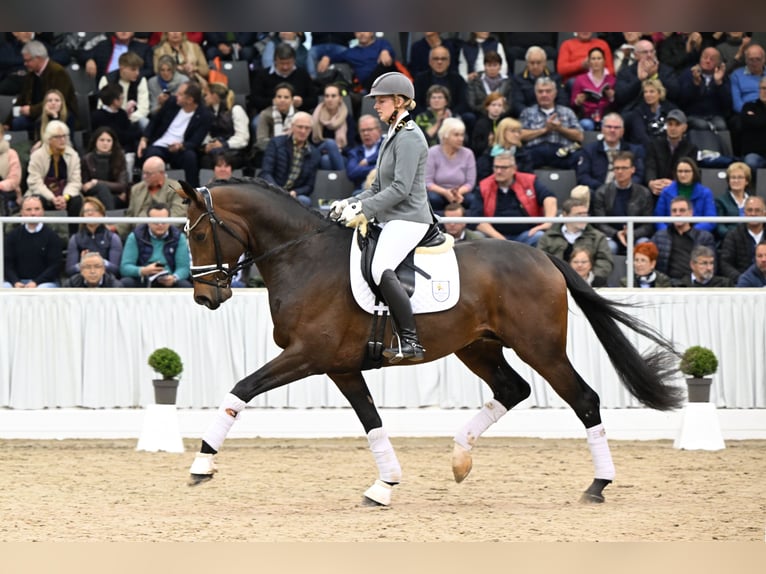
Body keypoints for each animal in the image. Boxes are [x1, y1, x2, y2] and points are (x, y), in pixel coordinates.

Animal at [180, 180, 684, 508]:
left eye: (201, 234)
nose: (205, 297)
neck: (304, 257)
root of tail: (542, 257)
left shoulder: (306, 355)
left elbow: (241, 390)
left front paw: (202, 465)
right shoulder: (340, 366)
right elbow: (372, 422)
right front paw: (384, 486)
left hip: (540, 348)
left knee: (584, 398)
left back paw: (598, 484)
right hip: (478, 347)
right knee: (512, 389)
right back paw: (460, 457)